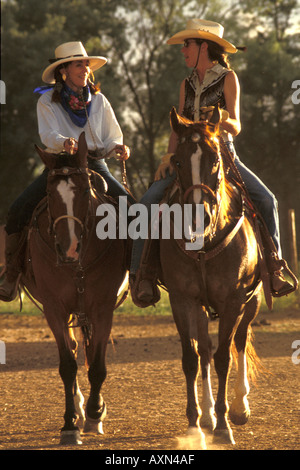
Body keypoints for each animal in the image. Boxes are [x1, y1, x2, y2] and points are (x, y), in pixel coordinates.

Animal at [21, 132, 127, 444]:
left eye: (83, 190)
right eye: (50, 193)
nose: (69, 249)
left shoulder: (102, 308)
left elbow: (98, 364)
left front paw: (95, 412)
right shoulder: (54, 308)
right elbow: (68, 365)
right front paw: (70, 423)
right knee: (75, 347)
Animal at [159, 108, 262, 446]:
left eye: (215, 158)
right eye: (177, 161)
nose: (196, 217)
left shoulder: (234, 300)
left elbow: (224, 358)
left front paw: (224, 426)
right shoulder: (182, 300)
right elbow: (192, 358)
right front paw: (196, 425)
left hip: (252, 300)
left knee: (240, 340)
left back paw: (239, 407)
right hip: (201, 307)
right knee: (204, 349)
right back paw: (207, 414)